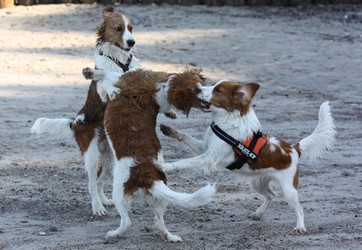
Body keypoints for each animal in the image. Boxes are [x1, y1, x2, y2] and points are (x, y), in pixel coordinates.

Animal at [30, 7, 140, 215]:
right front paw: (111, 87)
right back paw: (97, 207)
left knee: (99, 180)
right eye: (118, 28)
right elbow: (106, 83)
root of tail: (75, 122)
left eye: (130, 28)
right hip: (91, 154)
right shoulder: (102, 90)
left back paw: (105, 201)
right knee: (90, 183)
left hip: (109, 157)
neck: (119, 61)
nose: (132, 42)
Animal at [82, 67, 215, 241]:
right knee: (158, 221)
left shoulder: (119, 78)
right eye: (198, 90)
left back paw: (113, 233)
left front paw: (90, 73)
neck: (162, 86)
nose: (211, 100)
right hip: (159, 198)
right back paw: (171, 237)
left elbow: (105, 76)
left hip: (118, 190)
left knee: (127, 222)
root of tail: (148, 176)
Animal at [161, 80, 336, 234]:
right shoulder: (204, 148)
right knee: (271, 195)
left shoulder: (209, 158)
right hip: (258, 183)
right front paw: (169, 130)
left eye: (218, 90)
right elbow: (185, 137)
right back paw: (259, 213)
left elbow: (183, 162)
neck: (227, 121)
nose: (197, 88)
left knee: (299, 208)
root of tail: (292, 149)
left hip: (289, 190)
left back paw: (300, 226)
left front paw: (165, 166)